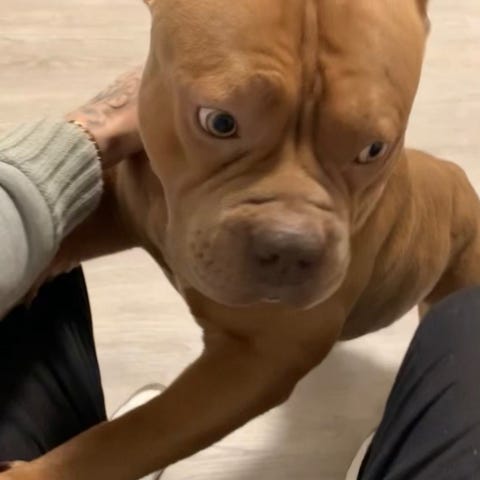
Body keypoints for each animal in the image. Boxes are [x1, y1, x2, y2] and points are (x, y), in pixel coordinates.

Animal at [4, 0, 480, 479]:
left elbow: (130, 435)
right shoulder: (116, 208)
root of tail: (460, 178)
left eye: (374, 149)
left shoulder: (258, 361)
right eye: (219, 121)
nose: (291, 248)